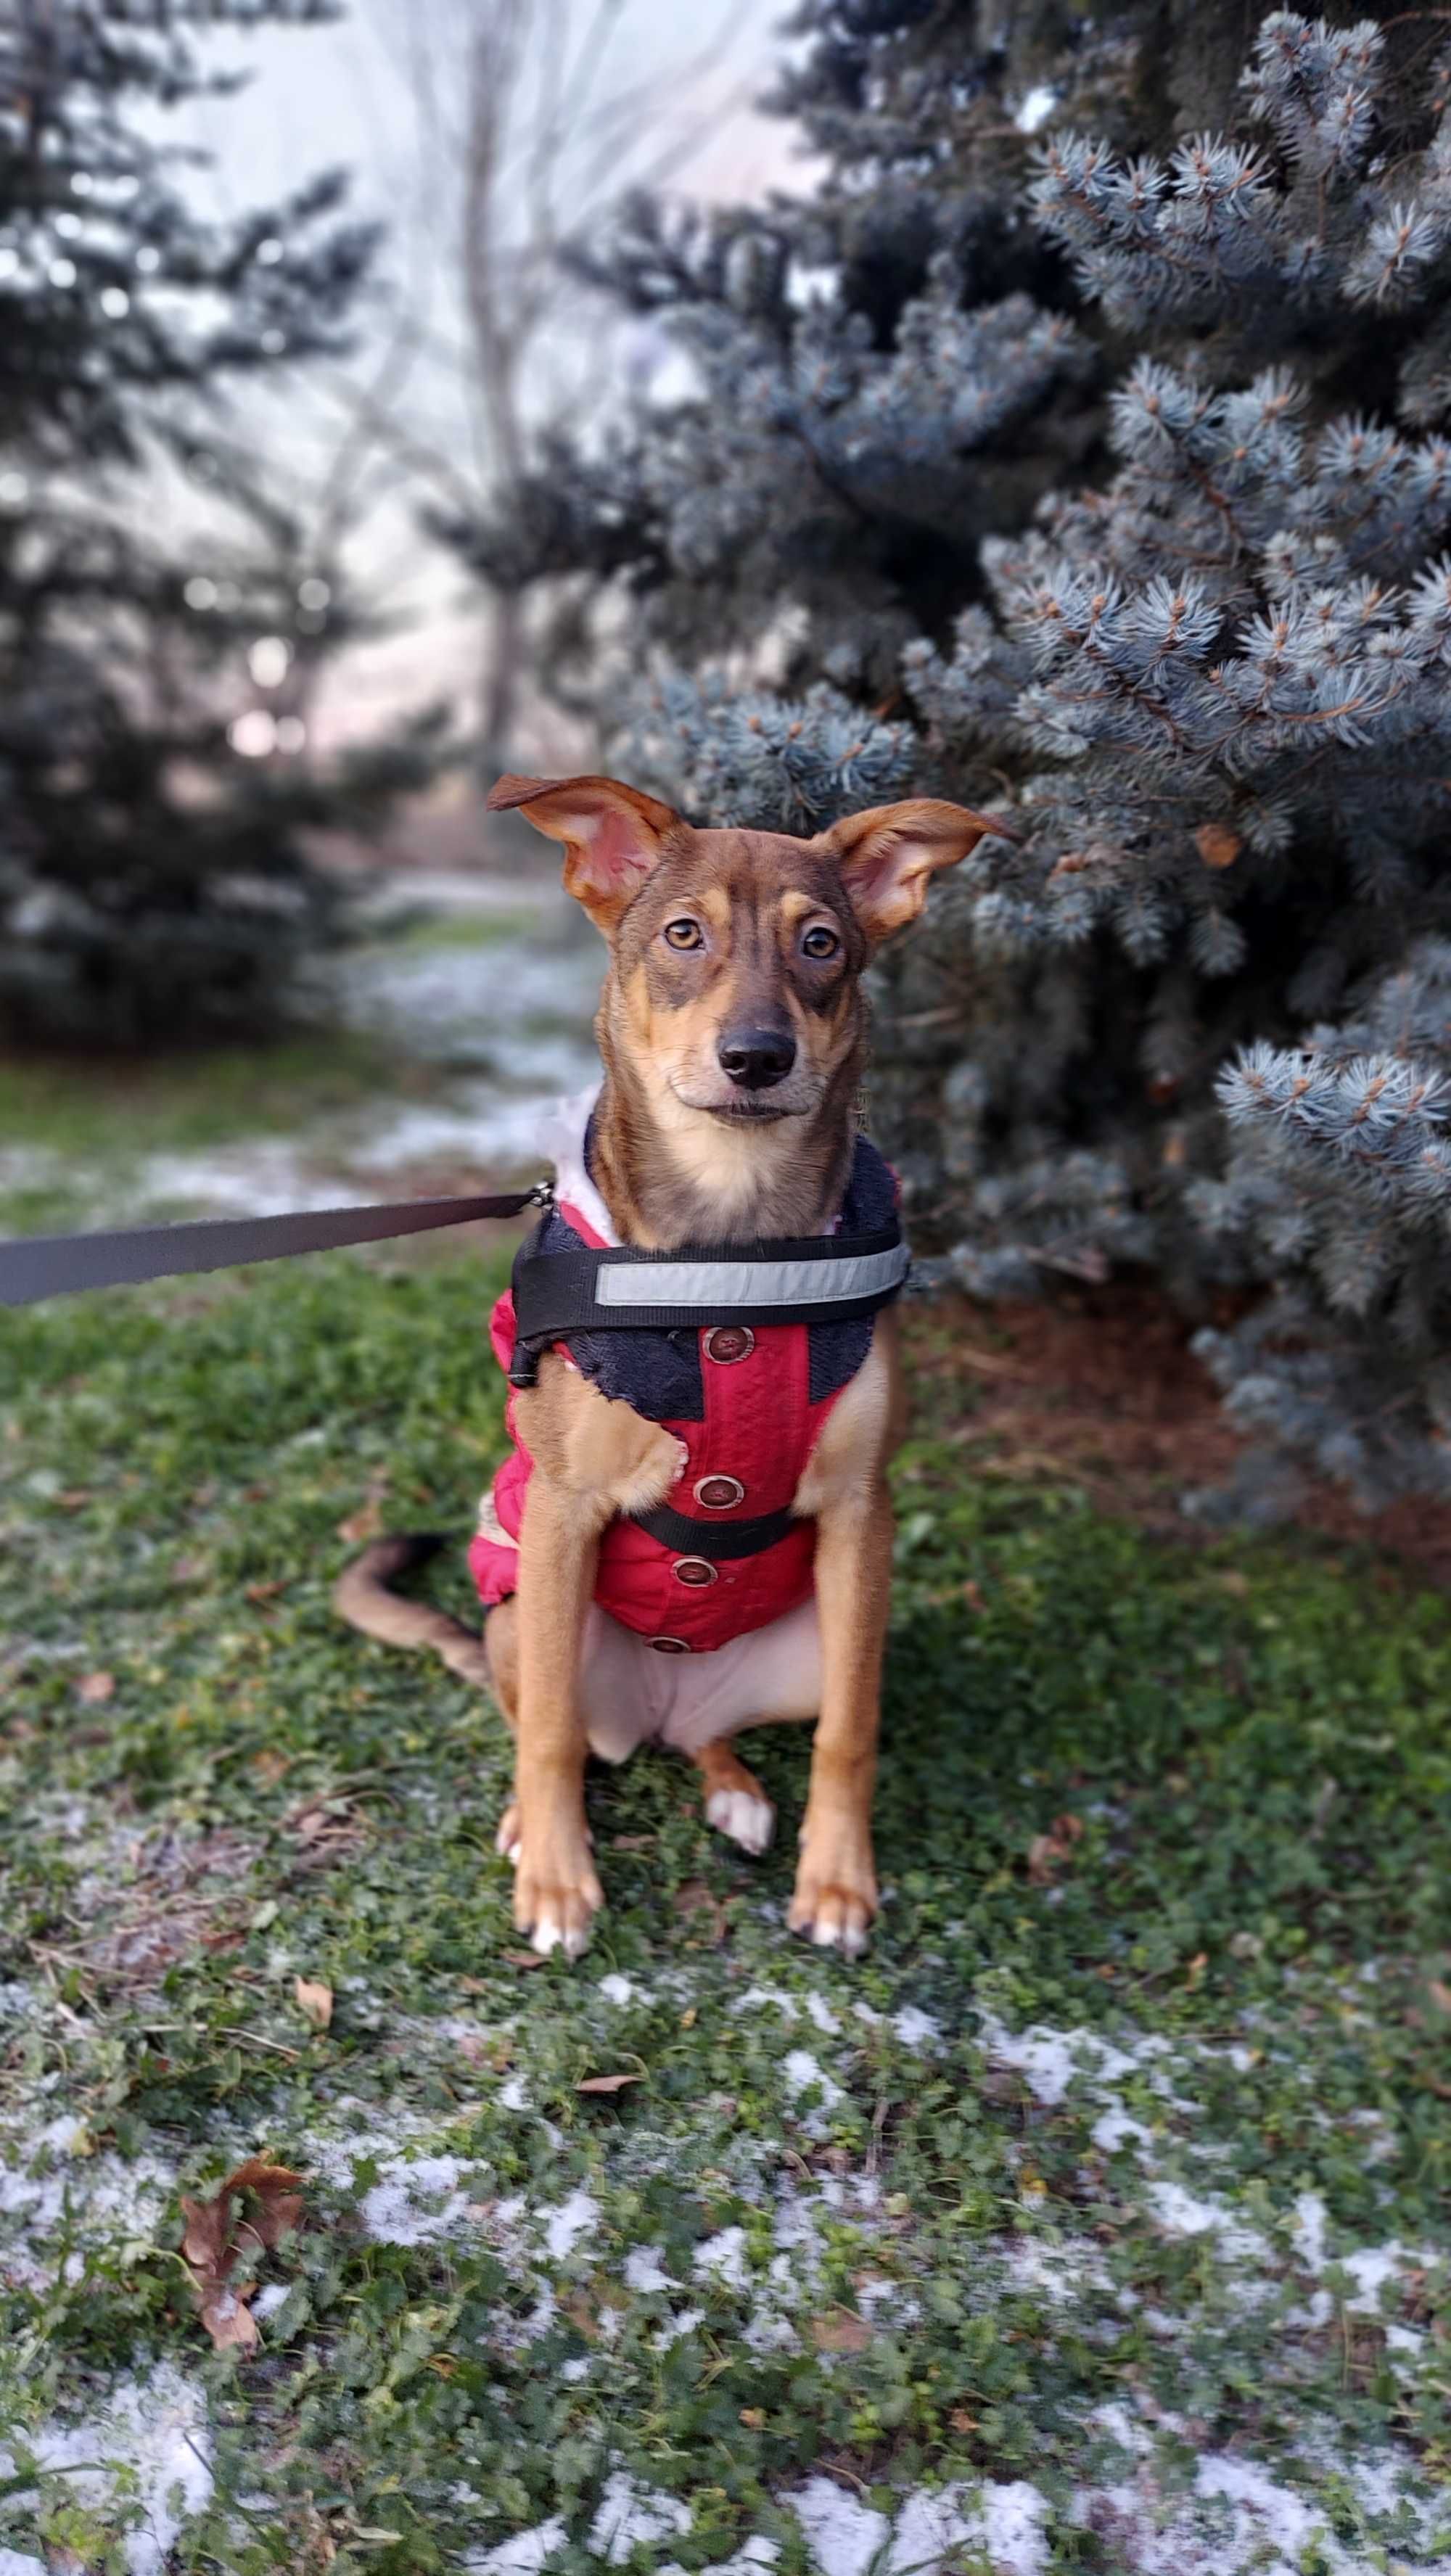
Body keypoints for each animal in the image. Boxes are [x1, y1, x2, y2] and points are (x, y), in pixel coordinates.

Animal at [334, 773, 1005, 1957]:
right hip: (520, 1618)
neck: (728, 1261)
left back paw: (733, 1788)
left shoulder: (862, 1511)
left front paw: (839, 1882)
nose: (756, 1056)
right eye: (682, 934)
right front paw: (558, 1882)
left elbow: (852, 1731)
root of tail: (663, 1705)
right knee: (546, 1719)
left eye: (822, 943)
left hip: (813, 1640)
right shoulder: (565, 1510)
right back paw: (532, 1819)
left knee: (720, 1737)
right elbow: (549, 1734)